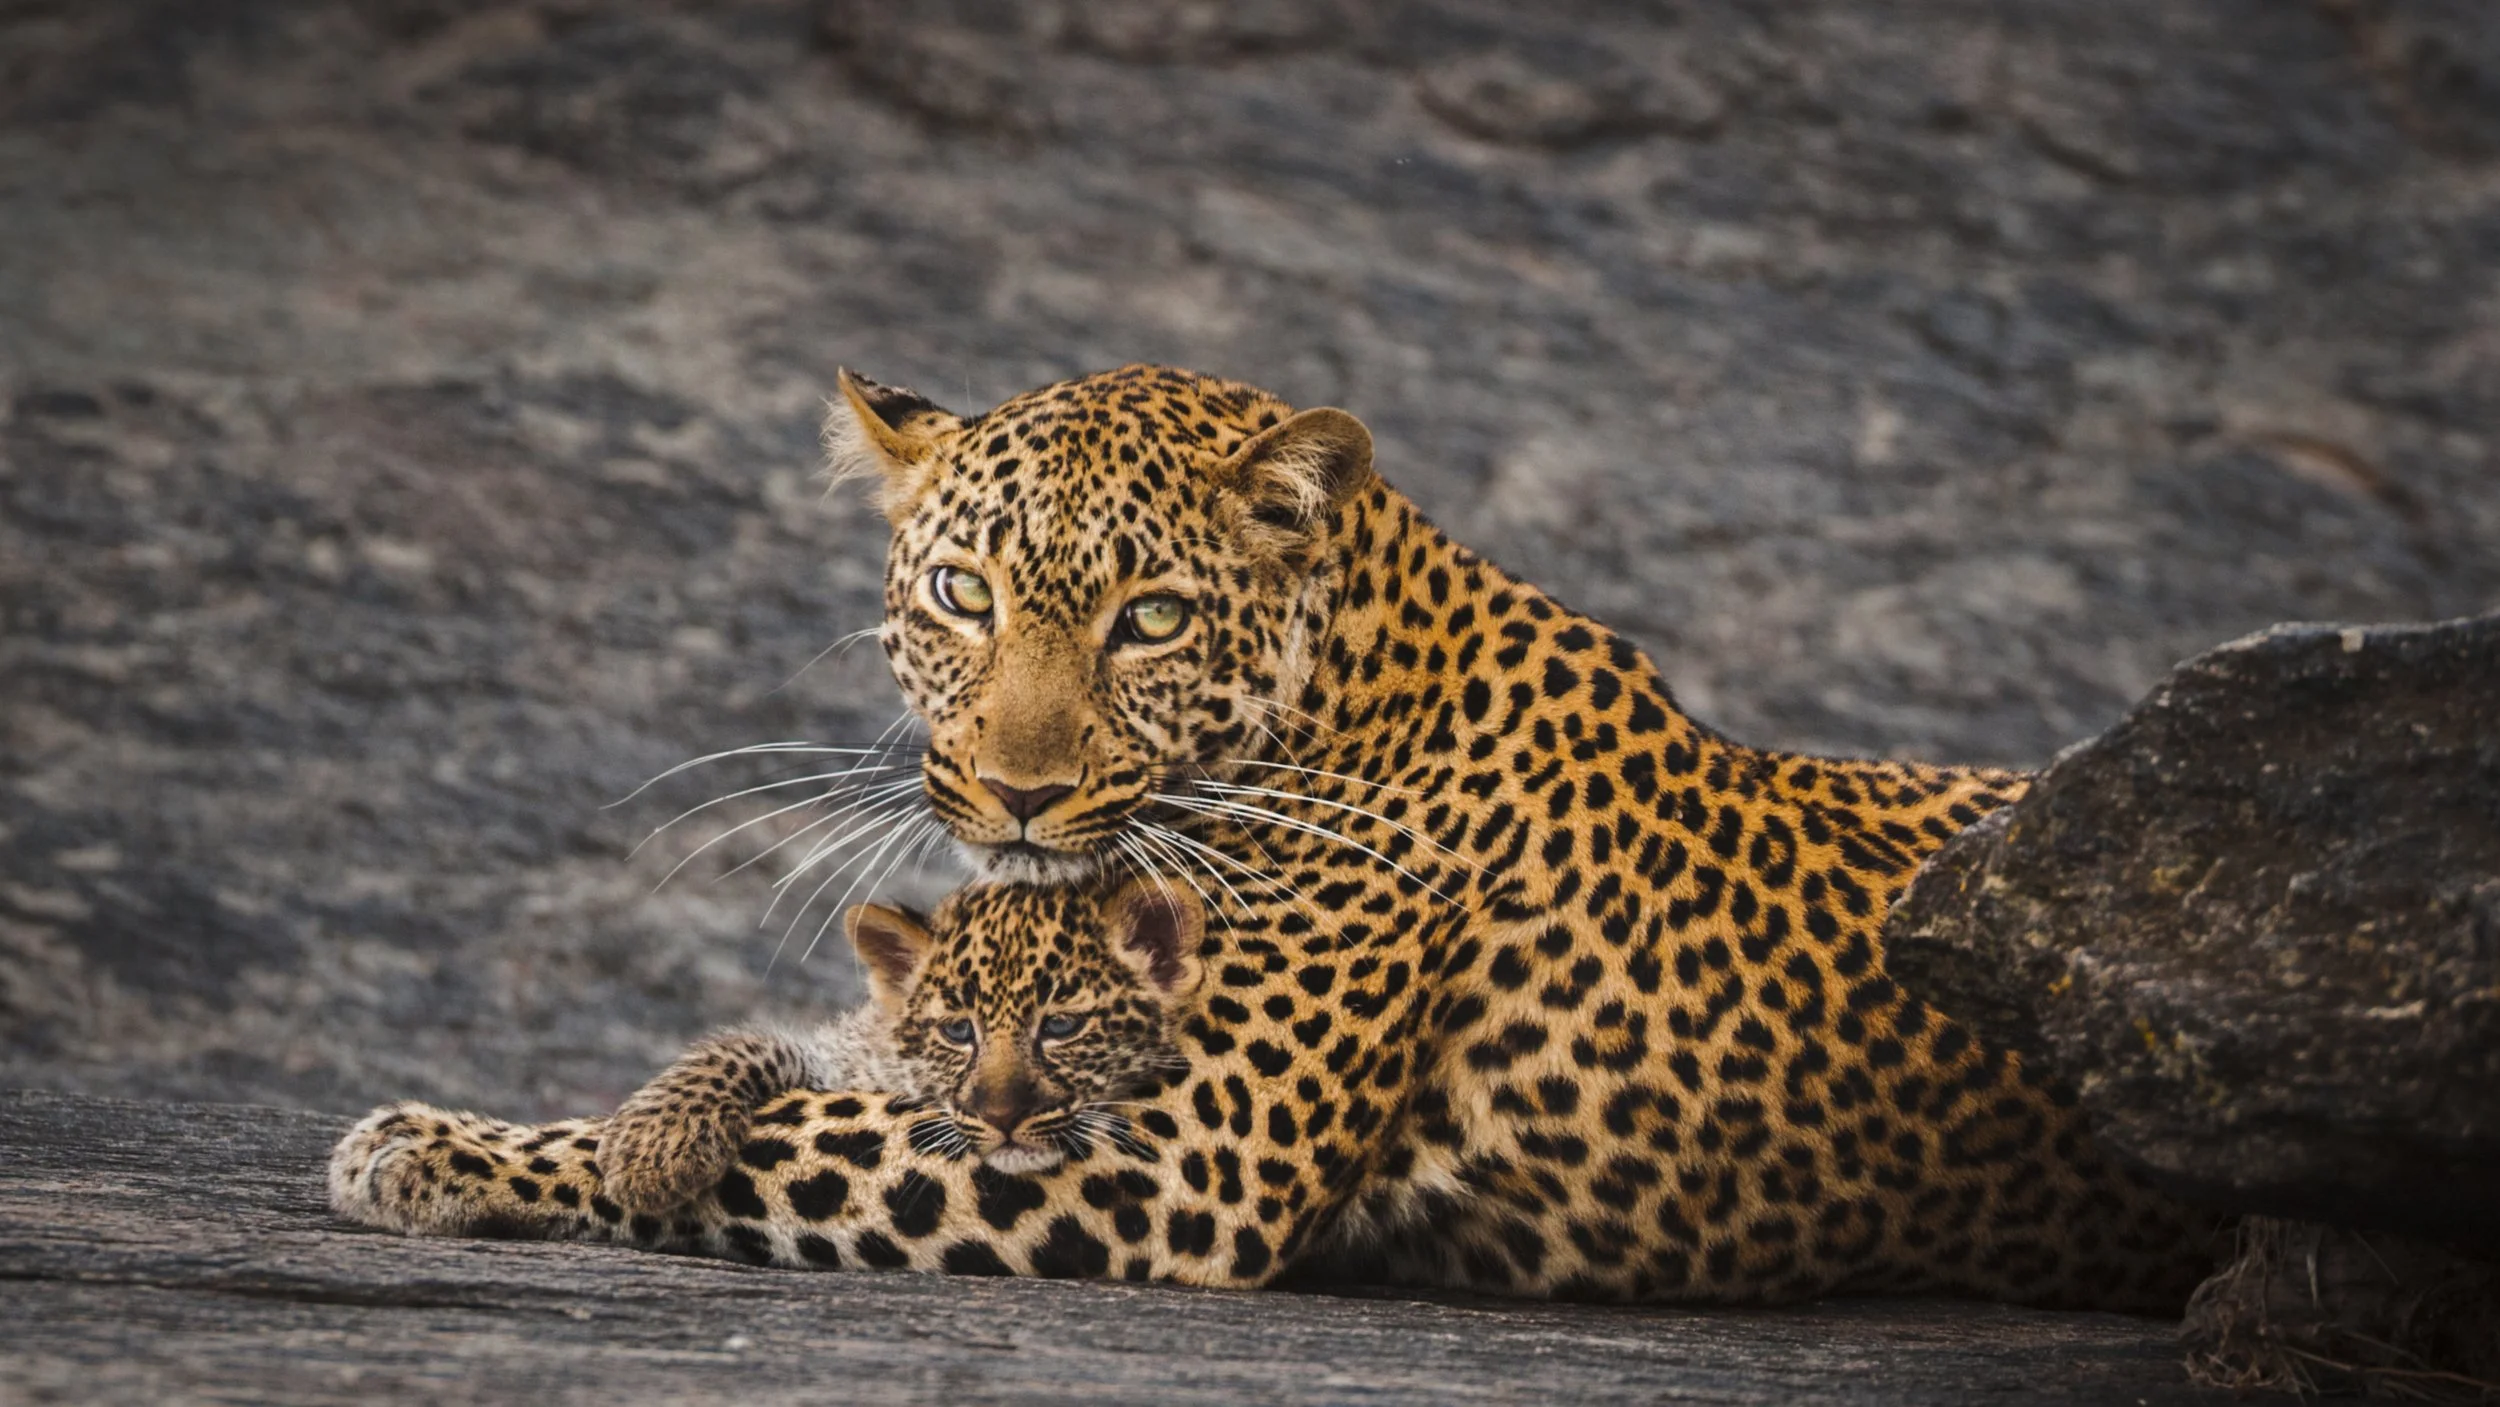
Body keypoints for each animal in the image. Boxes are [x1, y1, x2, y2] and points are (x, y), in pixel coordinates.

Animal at [332, 363, 2222, 1310]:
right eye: (963, 595)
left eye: (1152, 620)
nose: (1018, 793)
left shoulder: (1181, 1158)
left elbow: (798, 1145)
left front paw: (430, 1142)